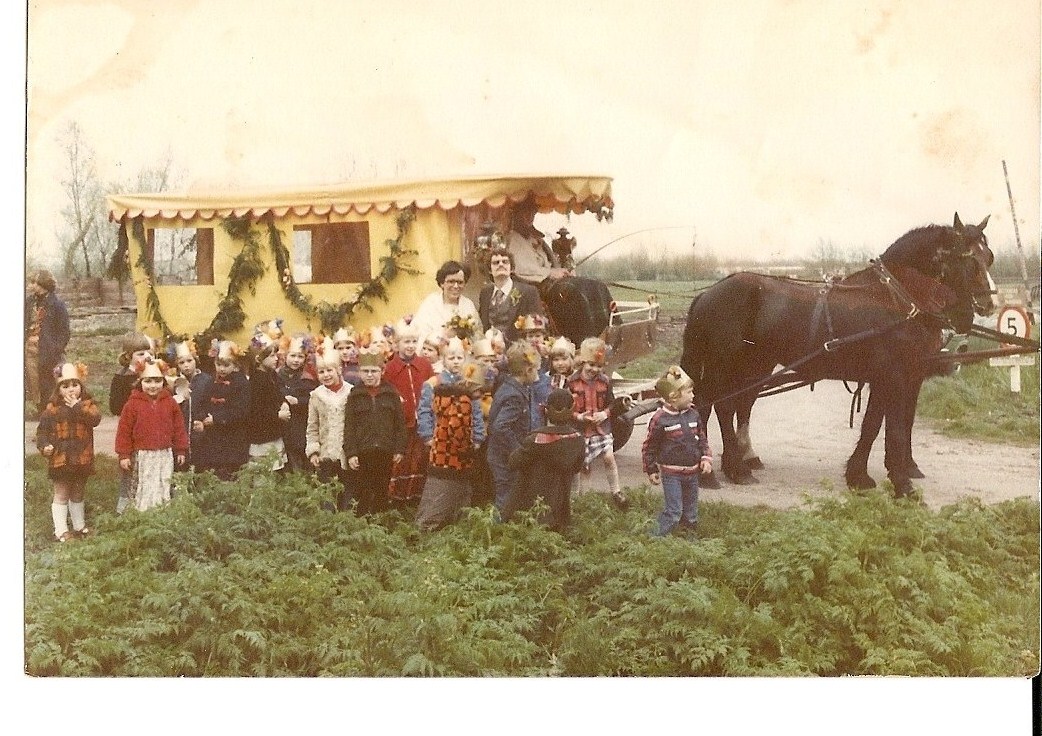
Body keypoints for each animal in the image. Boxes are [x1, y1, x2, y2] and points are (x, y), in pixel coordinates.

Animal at [679, 214, 996, 496]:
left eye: (989, 257)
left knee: (732, 405)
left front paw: (861, 475)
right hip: (725, 365)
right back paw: (729, 470)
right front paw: (900, 483)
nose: (987, 305)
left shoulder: (895, 376)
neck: (895, 300)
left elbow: (877, 424)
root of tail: (708, 294)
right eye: (969, 259)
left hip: (754, 366)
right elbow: (892, 426)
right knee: (719, 406)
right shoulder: (894, 374)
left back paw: (730, 465)